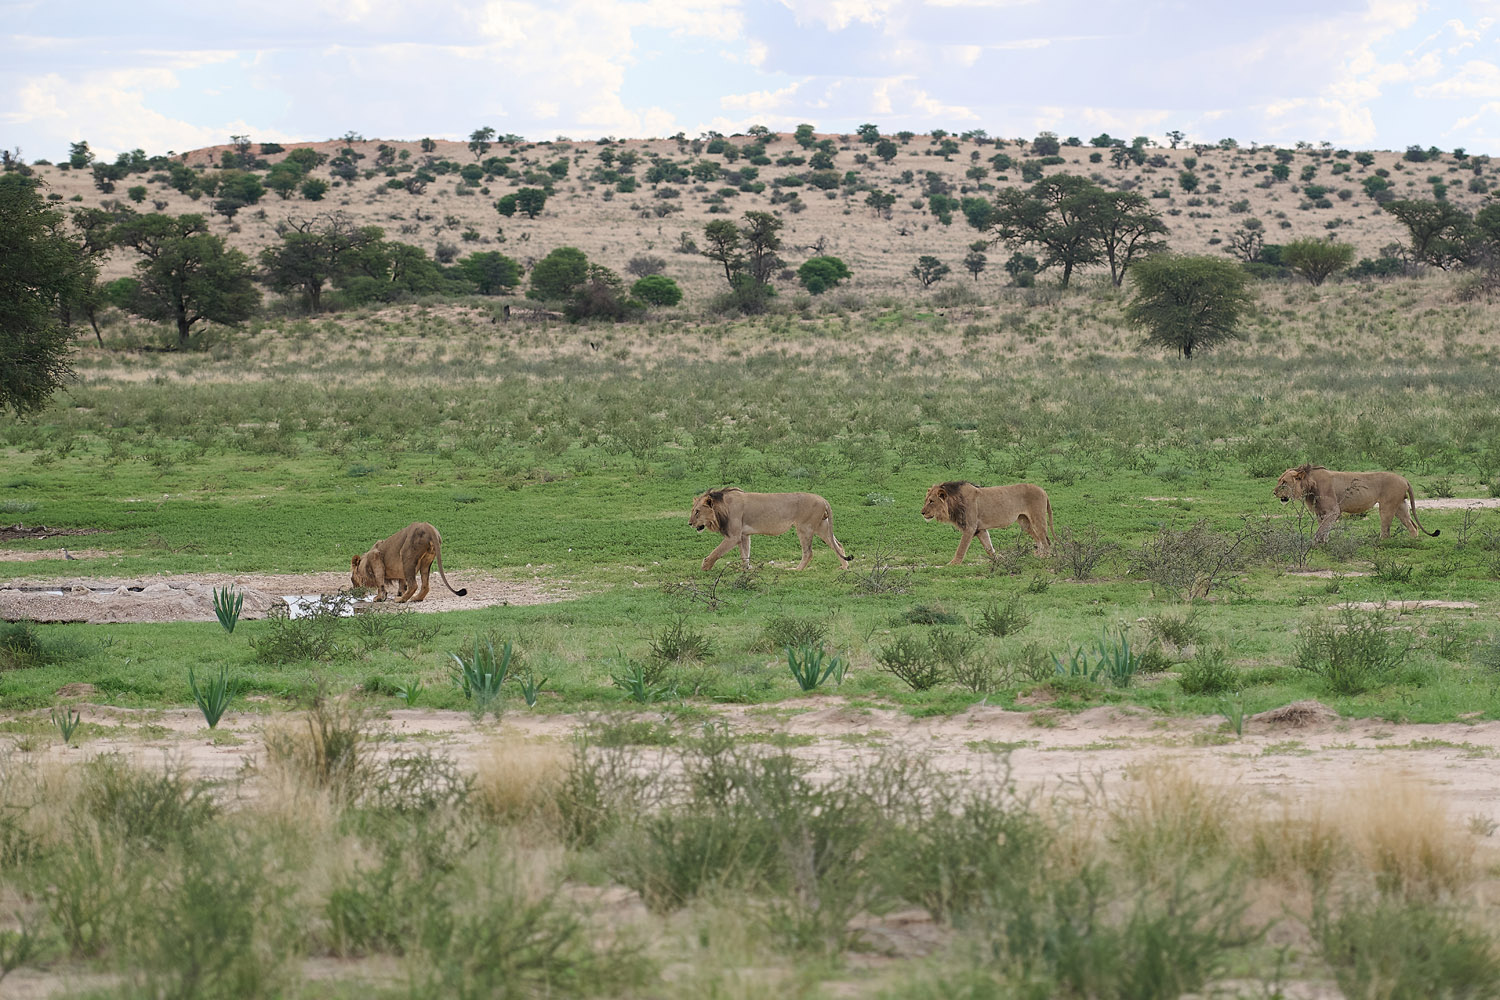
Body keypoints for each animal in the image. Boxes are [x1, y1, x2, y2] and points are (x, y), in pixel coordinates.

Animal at [688, 488, 852, 571]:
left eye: (697, 512)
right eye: (693, 510)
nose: (689, 523)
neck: (722, 507)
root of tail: (823, 499)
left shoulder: (733, 536)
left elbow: (716, 552)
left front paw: (705, 566)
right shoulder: (743, 535)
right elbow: (745, 554)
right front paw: (747, 570)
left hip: (804, 528)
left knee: (809, 552)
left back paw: (796, 570)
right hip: (821, 527)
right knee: (838, 545)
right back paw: (844, 567)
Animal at [922, 481, 1054, 563]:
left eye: (931, 501)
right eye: (926, 500)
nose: (922, 513)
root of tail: (1043, 490)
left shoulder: (970, 528)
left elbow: (961, 548)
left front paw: (952, 564)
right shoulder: (980, 529)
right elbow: (989, 547)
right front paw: (1000, 560)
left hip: (1037, 518)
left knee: (1046, 541)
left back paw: (1045, 558)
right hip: (1024, 522)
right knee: (1039, 540)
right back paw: (1038, 557)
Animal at [1273, 464, 1439, 544]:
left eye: (1284, 482)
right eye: (1279, 480)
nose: (1274, 492)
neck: (1309, 483)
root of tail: (1404, 479)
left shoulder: (1334, 510)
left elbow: (1321, 529)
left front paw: (1314, 543)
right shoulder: (1321, 512)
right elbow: (1324, 528)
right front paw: (1324, 542)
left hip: (1387, 506)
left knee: (1386, 531)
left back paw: (1379, 543)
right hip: (1400, 506)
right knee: (1413, 526)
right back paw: (1412, 541)